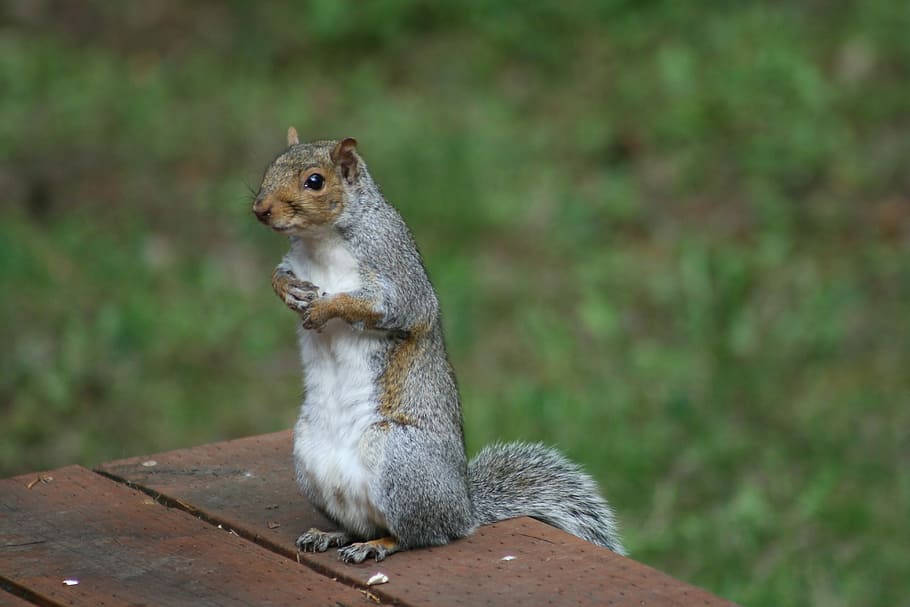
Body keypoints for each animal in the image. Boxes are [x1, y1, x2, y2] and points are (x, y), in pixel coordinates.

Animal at [252, 128, 625, 563]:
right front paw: (286, 289)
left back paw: (377, 545)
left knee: (418, 535)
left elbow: (397, 307)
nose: (260, 209)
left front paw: (328, 307)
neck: (321, 242)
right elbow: (281, 273)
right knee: (364, 523)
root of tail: (463, 510)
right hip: (310, 458)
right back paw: (333, 534)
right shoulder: (298, 260)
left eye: (315, 181)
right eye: (271, 166)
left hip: (400, 460)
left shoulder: (396, 269)